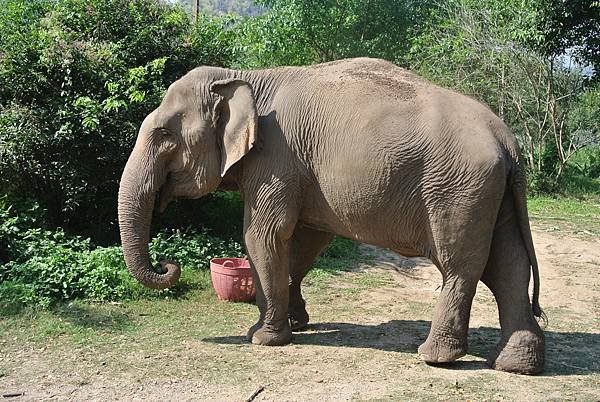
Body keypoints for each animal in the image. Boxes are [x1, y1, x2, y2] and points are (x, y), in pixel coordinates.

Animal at [117, 56, 544, 374]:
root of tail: (508, 141)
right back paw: (517, 365)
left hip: (458, 190)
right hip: (489, 192)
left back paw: (436, 358)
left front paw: (262, 337)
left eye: (163, 134)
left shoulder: (276, 160)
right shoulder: (300, 172)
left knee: (461, 267)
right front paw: (297, 324)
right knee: (507, 265)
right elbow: (304, 240)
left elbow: (264, 236)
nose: (167, 265)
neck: (247, 77)